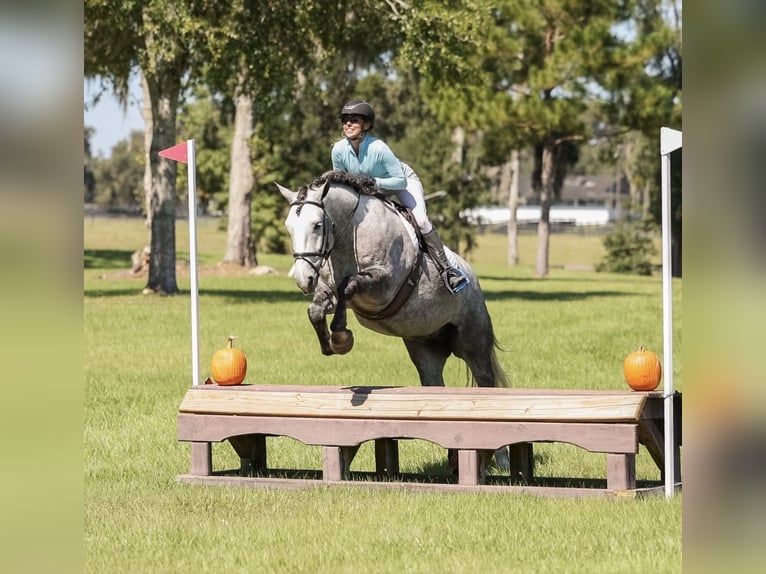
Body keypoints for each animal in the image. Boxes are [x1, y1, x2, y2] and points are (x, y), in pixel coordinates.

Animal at [276, 171, 509, 390]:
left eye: (317, 225)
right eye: (289, 227)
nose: (304, 280)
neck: (349, 234)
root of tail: (473, 278)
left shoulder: (384, 287)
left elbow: (348, 285)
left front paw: (341, 337)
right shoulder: (330, 293)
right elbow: (316, 310)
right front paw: (329, 344)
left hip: (473, 341)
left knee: (484, 375)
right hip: (424, 345)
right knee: (432, 377)